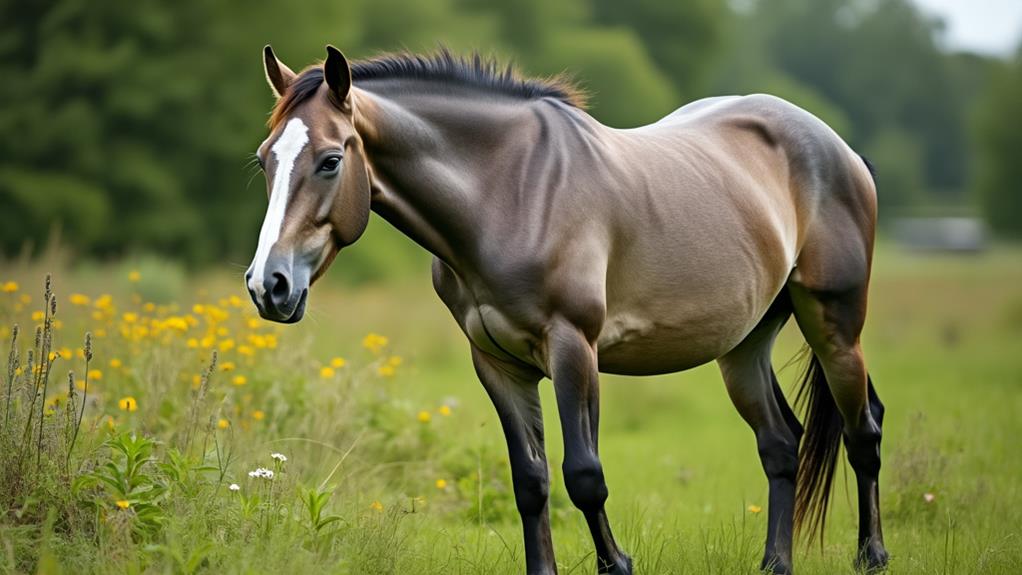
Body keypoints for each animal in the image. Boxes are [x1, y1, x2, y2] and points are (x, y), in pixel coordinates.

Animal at [245, 45, 888, 575]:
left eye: (330, 160)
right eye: (264, 160)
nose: (268, 286)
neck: (508, 192)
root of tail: (839, 149)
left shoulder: (573, 348)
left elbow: (584, 475)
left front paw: (618, 565)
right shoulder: (497, 364)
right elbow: (530, 481)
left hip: (835, 326)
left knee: (864, 430)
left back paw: (872, 556)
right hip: (744, 344)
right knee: (781, 444)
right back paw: (776, 564)